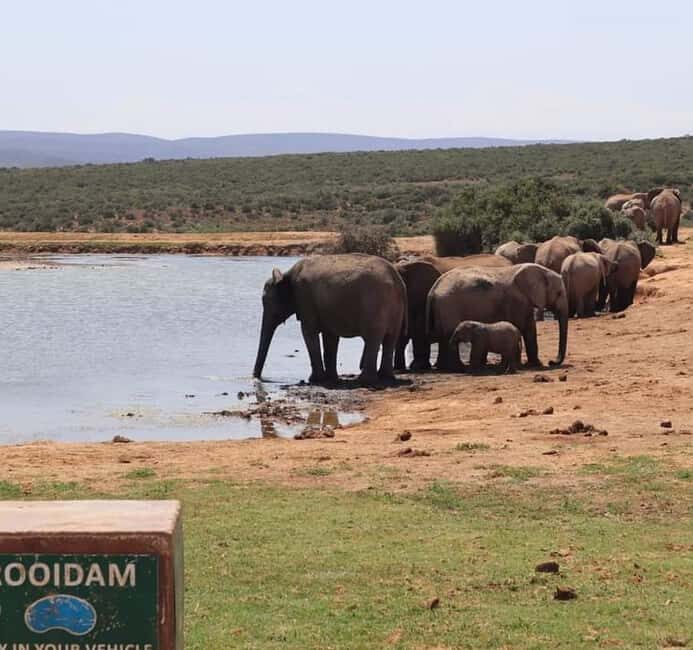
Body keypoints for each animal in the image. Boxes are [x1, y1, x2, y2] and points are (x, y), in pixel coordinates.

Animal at [253, 254, 407, 385]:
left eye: (267, 302)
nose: (256, 378)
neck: (286, 275)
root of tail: (397, 280)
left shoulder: (304, 297)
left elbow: (308, 332)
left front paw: (315, 380)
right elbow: (330, 337)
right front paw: (331, 379)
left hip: (375, 304)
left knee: (373, 338)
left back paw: (365, 380)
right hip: (394, 309)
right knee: (390, 339)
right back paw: (385, 377)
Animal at [426, 263, 568, 372]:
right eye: (559, 293)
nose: (551, 362)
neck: (541, 270)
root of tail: (433, 289)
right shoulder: (517, 300)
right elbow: (526, 328)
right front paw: (537, 365)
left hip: (441, 309)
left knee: (443, 337)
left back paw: (444, 368)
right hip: (448, 307)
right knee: (449, 335)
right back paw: (458, 368)